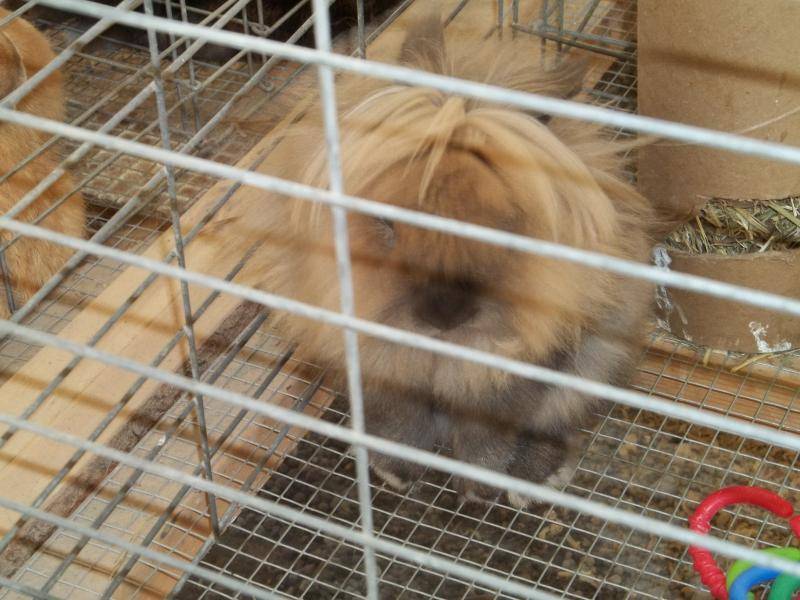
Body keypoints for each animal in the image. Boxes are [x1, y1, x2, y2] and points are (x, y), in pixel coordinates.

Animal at [228, 4, 659, 508]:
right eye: (387, 221)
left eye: (505, 223)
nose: (444, 313)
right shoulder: (381, 367)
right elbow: (401, 420)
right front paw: (398, 473)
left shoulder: (519, 371)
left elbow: (489, 432)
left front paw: (479, 487)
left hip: (598, 357)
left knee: (558, 420)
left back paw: (535, 481)